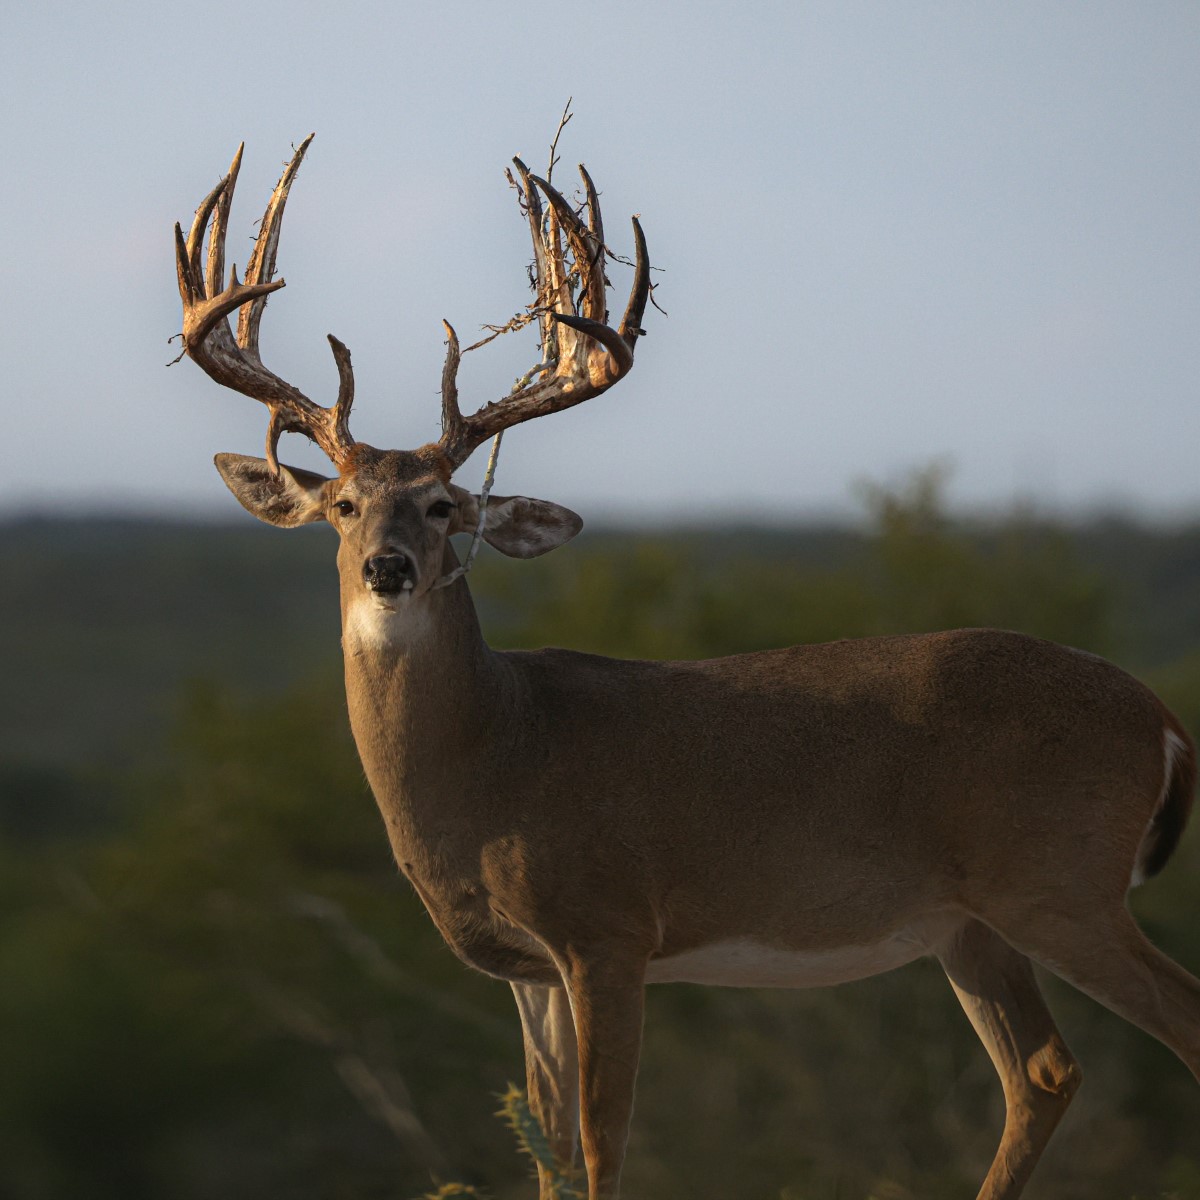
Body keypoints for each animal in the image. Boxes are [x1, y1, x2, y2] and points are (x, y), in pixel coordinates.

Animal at [173, 135, 1200, 1200]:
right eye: (342, 505)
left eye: (445, 505)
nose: (388, 567)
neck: (497, 754)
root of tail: (1160, 716)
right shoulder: (529, 972)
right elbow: (546, 1149)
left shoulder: (608, 926)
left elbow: (600, 1143)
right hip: (971, 922)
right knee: (1042, 1071)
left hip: (1060, 882)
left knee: (1174, 1027)